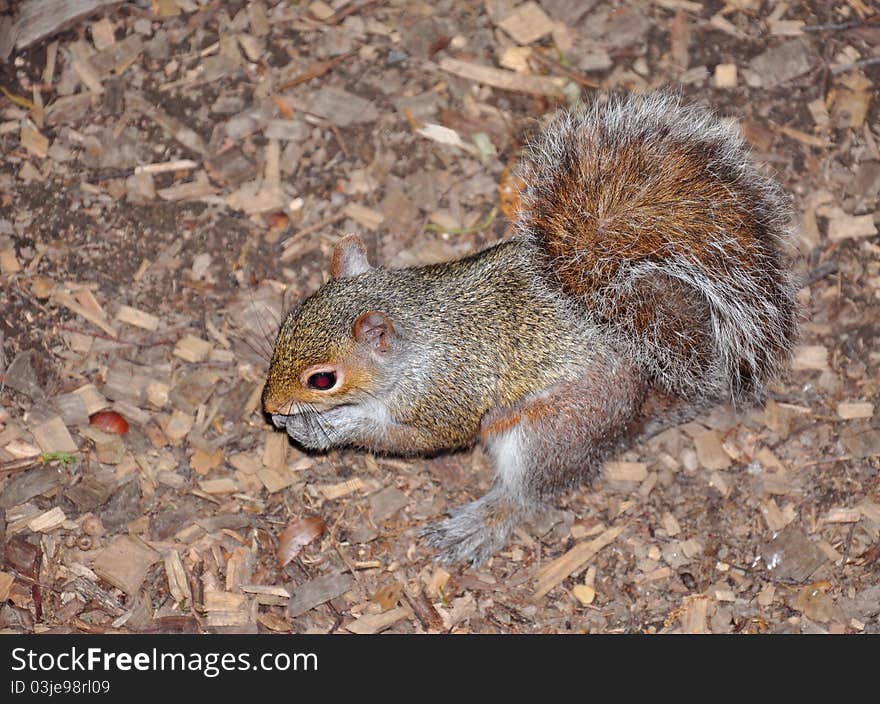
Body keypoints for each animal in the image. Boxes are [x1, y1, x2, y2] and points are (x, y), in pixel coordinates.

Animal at [262, 93, 796, 568]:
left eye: (323, 380)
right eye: (286, 326)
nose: (268, 408)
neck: (418, 337)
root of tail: (636, 412)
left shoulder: (443, 399)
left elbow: (412, 439)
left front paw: (327, 427)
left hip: (551, 432)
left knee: (527, 492)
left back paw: (480, 522)